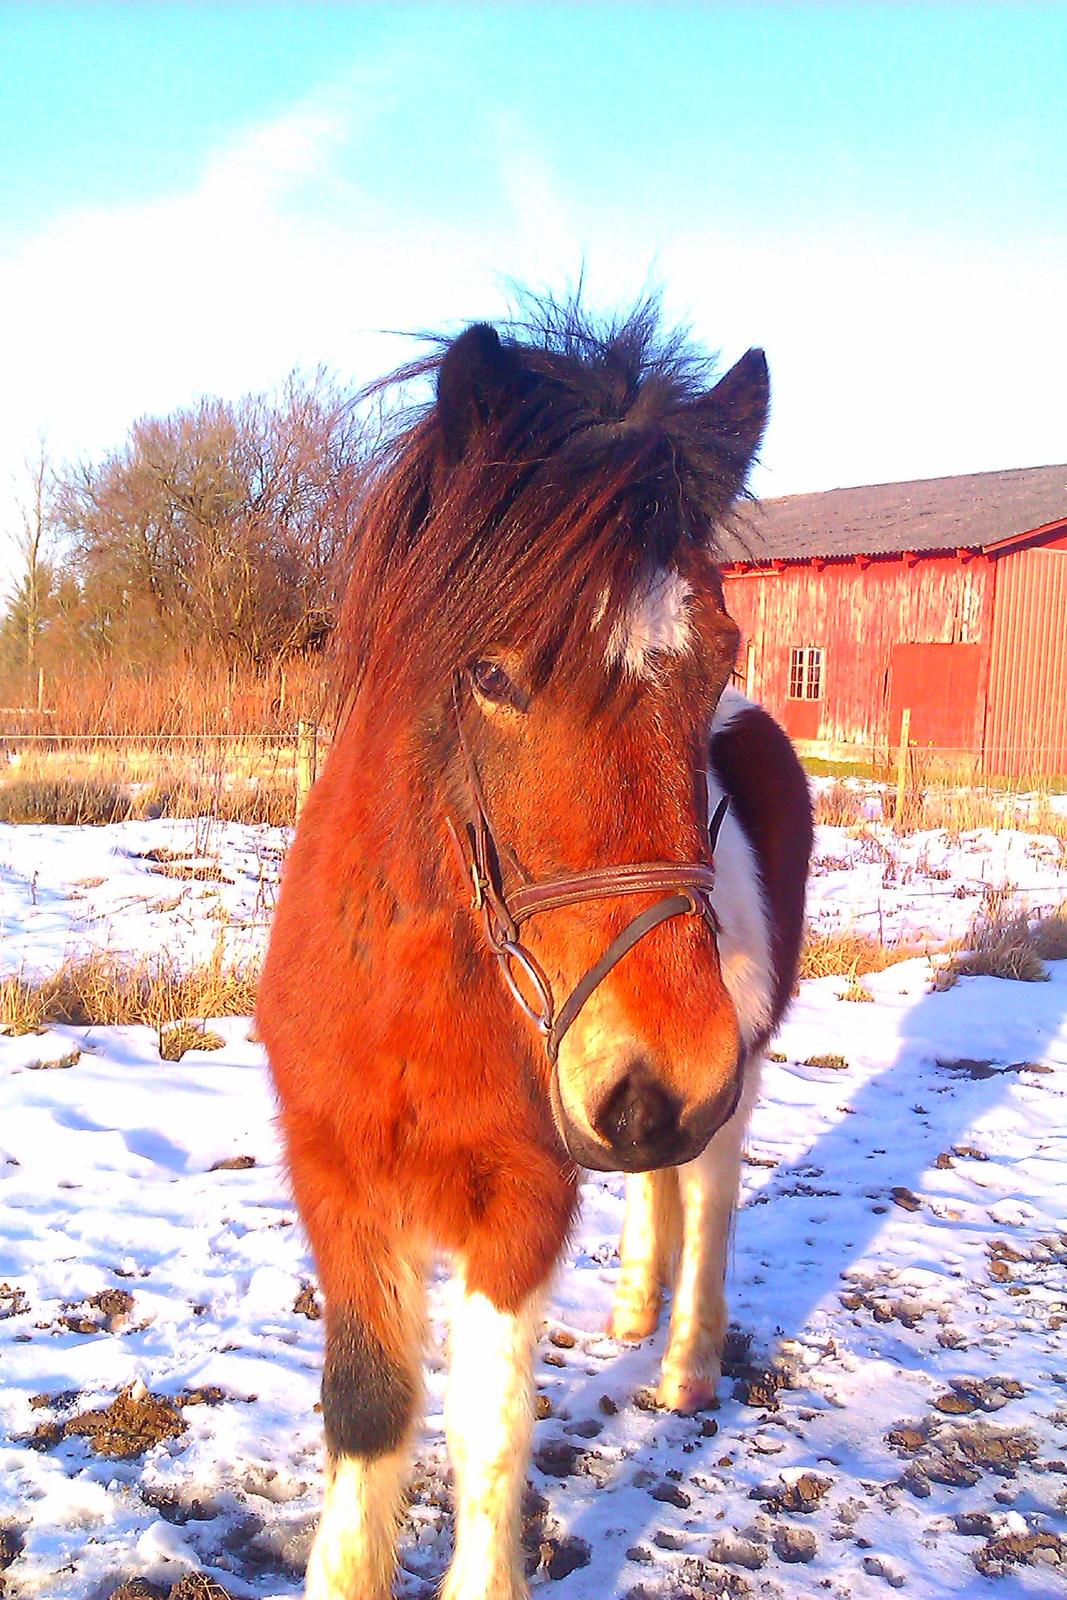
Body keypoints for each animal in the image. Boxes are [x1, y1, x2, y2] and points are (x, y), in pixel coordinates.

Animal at [255, 302, 809, 1600]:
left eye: (717, 653)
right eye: (492, 672)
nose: (664, 1070)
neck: (410, 997)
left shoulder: (520, 1198)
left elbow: (488, 1431)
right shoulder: (336, 1183)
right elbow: (368, 1411)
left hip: (737, 1066)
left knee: (710, 1189)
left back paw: (685, 1360)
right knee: (668, 1180)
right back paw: (633, 1309)